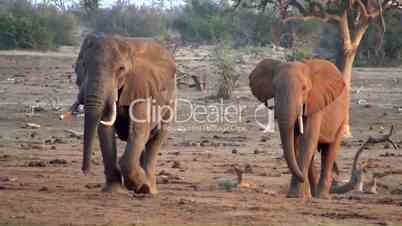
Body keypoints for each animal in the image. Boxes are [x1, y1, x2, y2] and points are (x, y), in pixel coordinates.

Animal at [70, 33, 176, 194]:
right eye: (83, 65)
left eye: (121, 69)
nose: (85, 171)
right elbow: (105, 128)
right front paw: (113, 191)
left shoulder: (142, 86)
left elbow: (139, 128)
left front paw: (139, 186)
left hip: (171, 100)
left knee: (157, 138)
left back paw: (149, 190)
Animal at [250, 58, 348, 200]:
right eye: (274, 87)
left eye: (304, 88)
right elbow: (295, 142)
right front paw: (295, 194)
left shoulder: (316, 102)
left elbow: (306, 139)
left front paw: (296, 194)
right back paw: (312, 193)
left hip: (342, 118)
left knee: (330, 151)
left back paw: (321, 196)